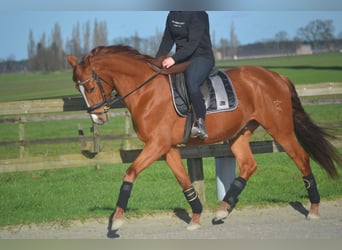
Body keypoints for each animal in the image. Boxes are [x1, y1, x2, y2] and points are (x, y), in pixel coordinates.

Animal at [66, 45, 340, 230]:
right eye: (78, 87)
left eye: (90, 86)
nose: (97, 119)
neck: (147, 91)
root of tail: (276, 76)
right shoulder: (167, 148)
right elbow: (184, 181)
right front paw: (196, 216)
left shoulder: (157, 145)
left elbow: (131, 172)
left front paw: (117, 220)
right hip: (239, 134)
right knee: (248, 166)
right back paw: (222, 210)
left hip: (279, 129)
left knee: (301, 158)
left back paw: (314, 208)